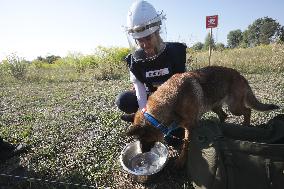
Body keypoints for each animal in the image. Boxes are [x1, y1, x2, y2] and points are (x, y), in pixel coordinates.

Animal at [126, 65, 280, 168]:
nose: (143, 152)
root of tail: (240, 75)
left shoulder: (190, 127)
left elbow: (186, 144)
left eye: (142, 138)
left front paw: (182, 160)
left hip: (234, 107)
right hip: (215, 106)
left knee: (247, 111)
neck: (172, 98)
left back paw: (246, 125)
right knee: (224, 115)